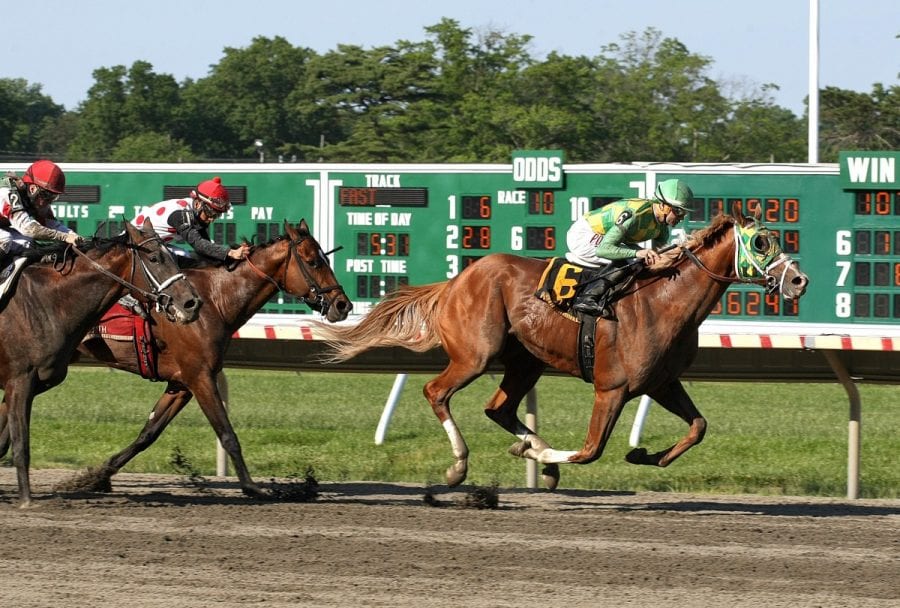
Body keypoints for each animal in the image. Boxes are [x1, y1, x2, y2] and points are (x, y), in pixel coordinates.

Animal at [0, 221, 200, 506]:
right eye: (154, 258)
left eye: (172, 257)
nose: (192, 303)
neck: (47, 302)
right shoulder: (20, 380)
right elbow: (20, 442)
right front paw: (27, 499)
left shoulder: (36, 382)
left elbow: (4, 438)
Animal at [37, 218, 350, 498]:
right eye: (313, 262)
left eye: (325, 258)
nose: (342, 304)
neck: (215, 300)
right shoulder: (201, 378)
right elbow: (228, 435)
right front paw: (253, 488)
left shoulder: (181, 384)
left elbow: (148, 434)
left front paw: (95, 477)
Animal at [322, 208, 808, 490]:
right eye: (761, 242)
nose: (800, 280)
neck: (664, 302)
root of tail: (458, 279)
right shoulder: (611, 388)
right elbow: (590, 451)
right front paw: (538, 455)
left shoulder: (662, 382)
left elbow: (699, 427)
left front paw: (645, 454)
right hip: (476, 354)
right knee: (436, 392)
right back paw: (463, 465)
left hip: (526, 361)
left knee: (498, 408)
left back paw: (532, 451)